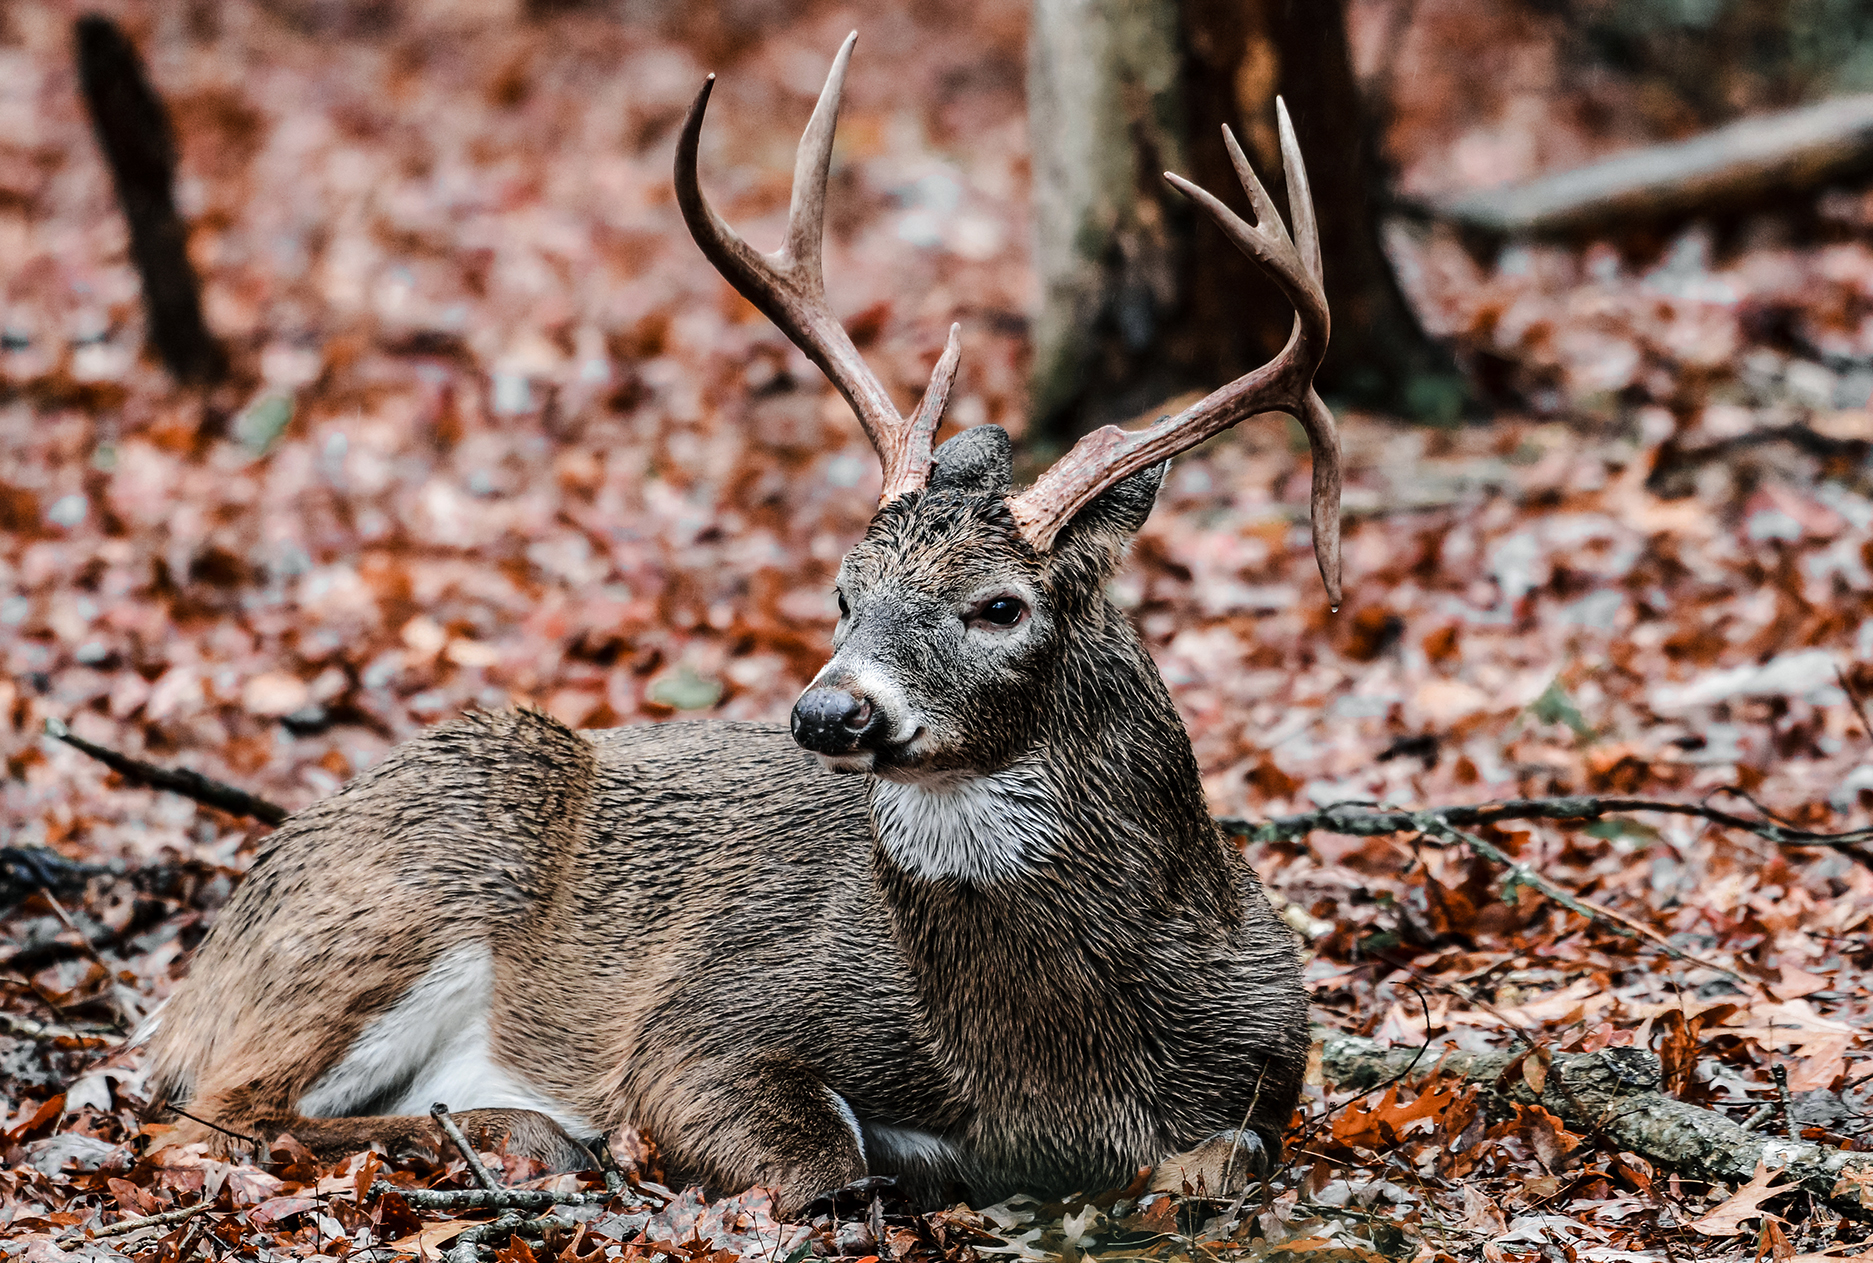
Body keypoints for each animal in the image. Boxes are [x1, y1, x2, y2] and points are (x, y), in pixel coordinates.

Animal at [146, 34, 1348, 1214]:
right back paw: (528, 1132)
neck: (1057, 1077)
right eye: (843, 591)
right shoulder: (703, 1023)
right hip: (407, 877)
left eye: (999, 606)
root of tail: (207, 958)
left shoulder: (1272, 1066)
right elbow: (826, 1168)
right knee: (217, 1110)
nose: (828, 712)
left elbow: (1228, 1160)